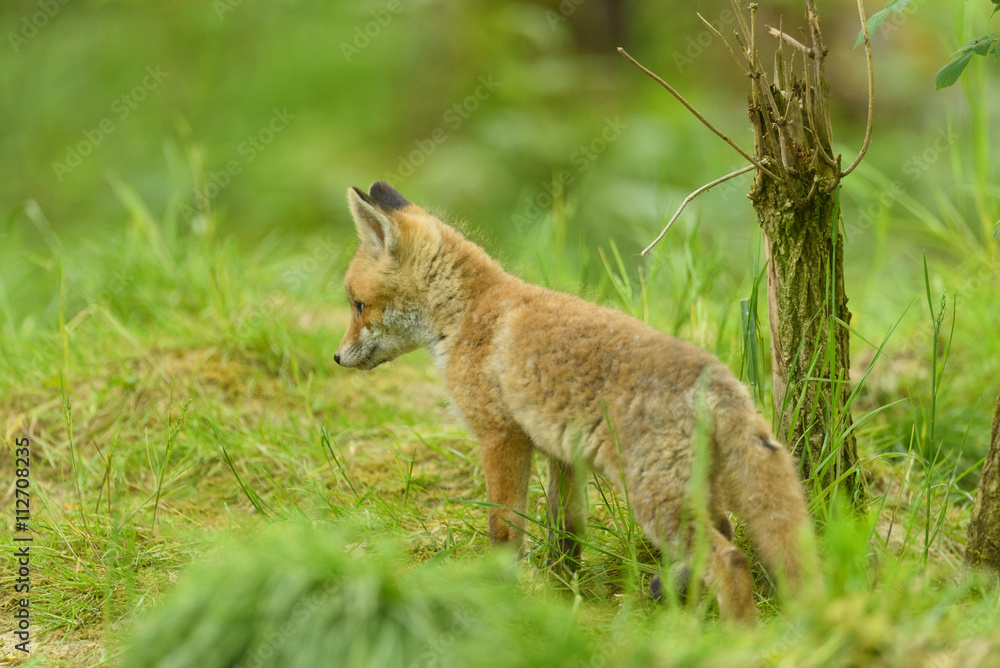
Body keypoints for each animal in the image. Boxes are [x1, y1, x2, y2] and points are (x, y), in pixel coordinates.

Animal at [335, 181, 814, 621]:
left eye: (358, 305)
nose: (337, 357)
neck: (469, 314)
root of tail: (717, 377)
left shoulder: (500, 437)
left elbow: (504, 531)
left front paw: (501, 591)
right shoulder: (562, 453)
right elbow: (566, 533)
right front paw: (561, 592)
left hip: (653, 498)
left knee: (730, 559)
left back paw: (738, 636)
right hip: (687, 489)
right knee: (726, 533)